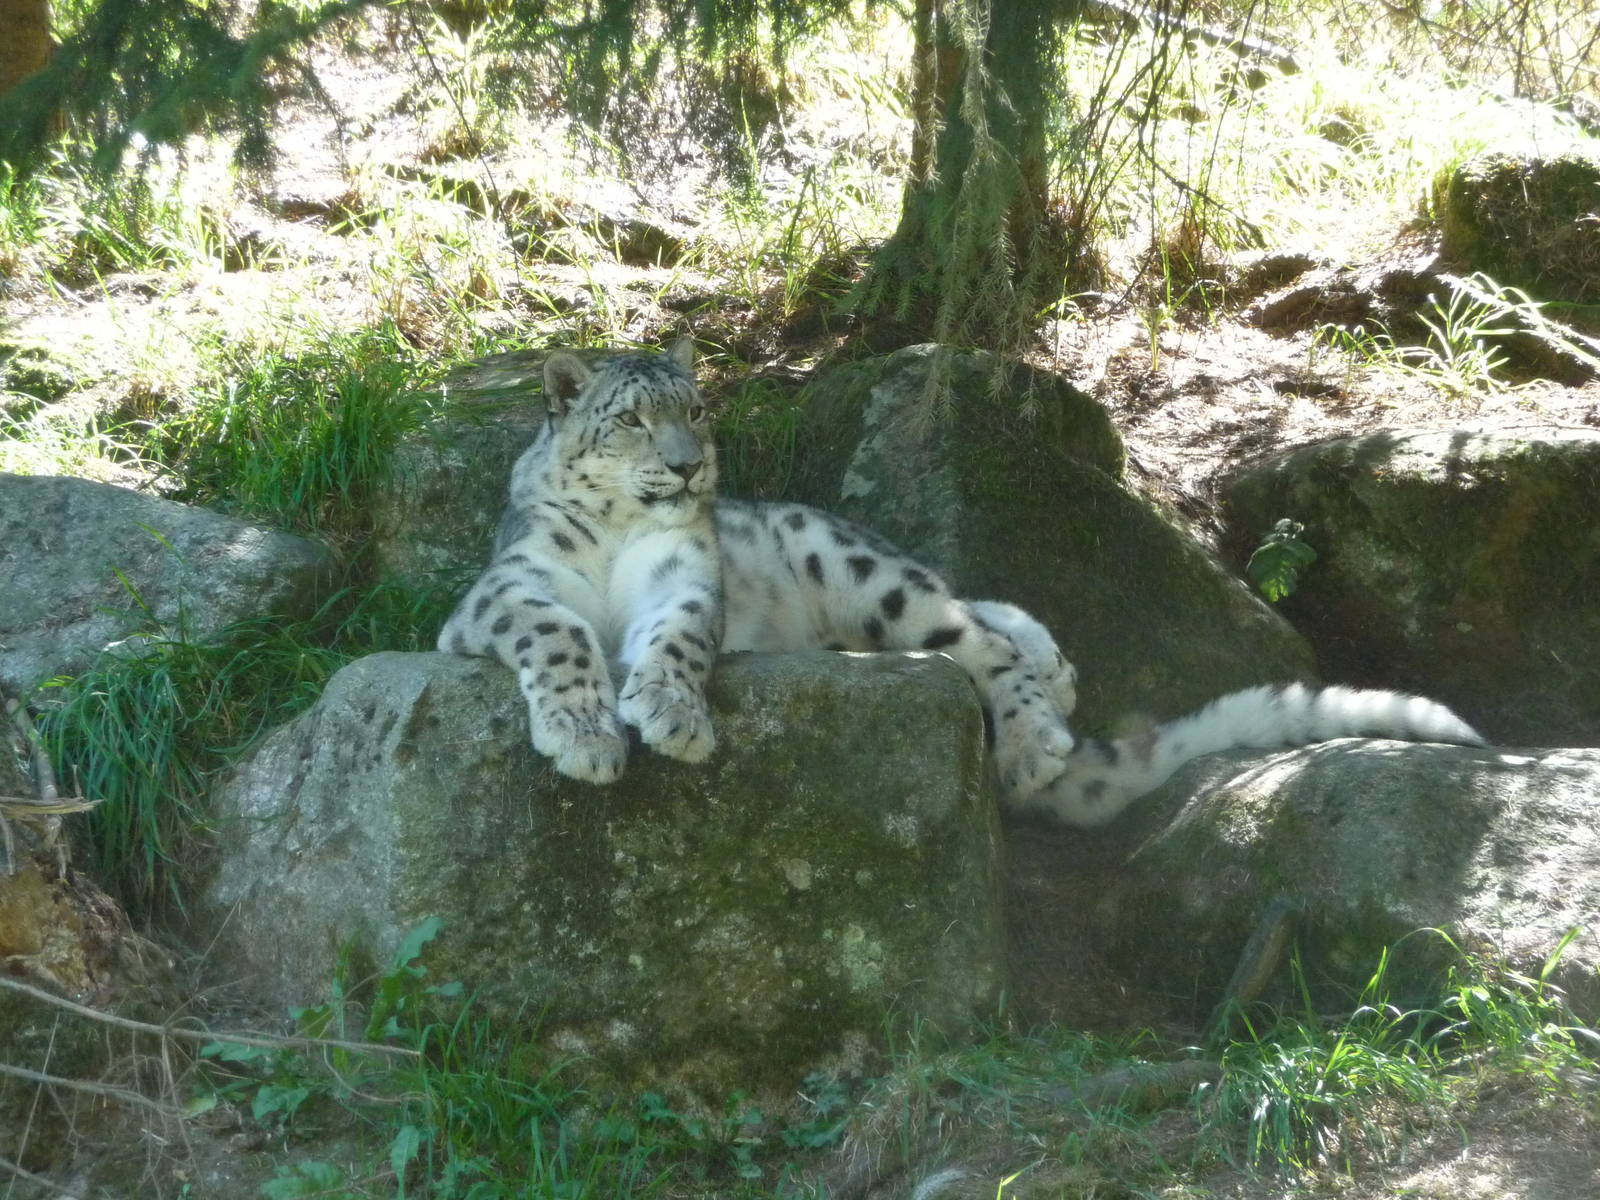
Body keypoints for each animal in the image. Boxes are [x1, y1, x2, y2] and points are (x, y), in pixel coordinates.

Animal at [437, 340, 1485, 828]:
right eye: (631, 420)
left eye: (695, 410)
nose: (691, 469)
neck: (621, 536)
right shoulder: (503, 592)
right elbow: (561, 633)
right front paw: (586, 734)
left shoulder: (687, 580)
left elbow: (681, 637)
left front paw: (668, 713)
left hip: (859, 569)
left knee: (975, 635)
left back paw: (1034, 730)